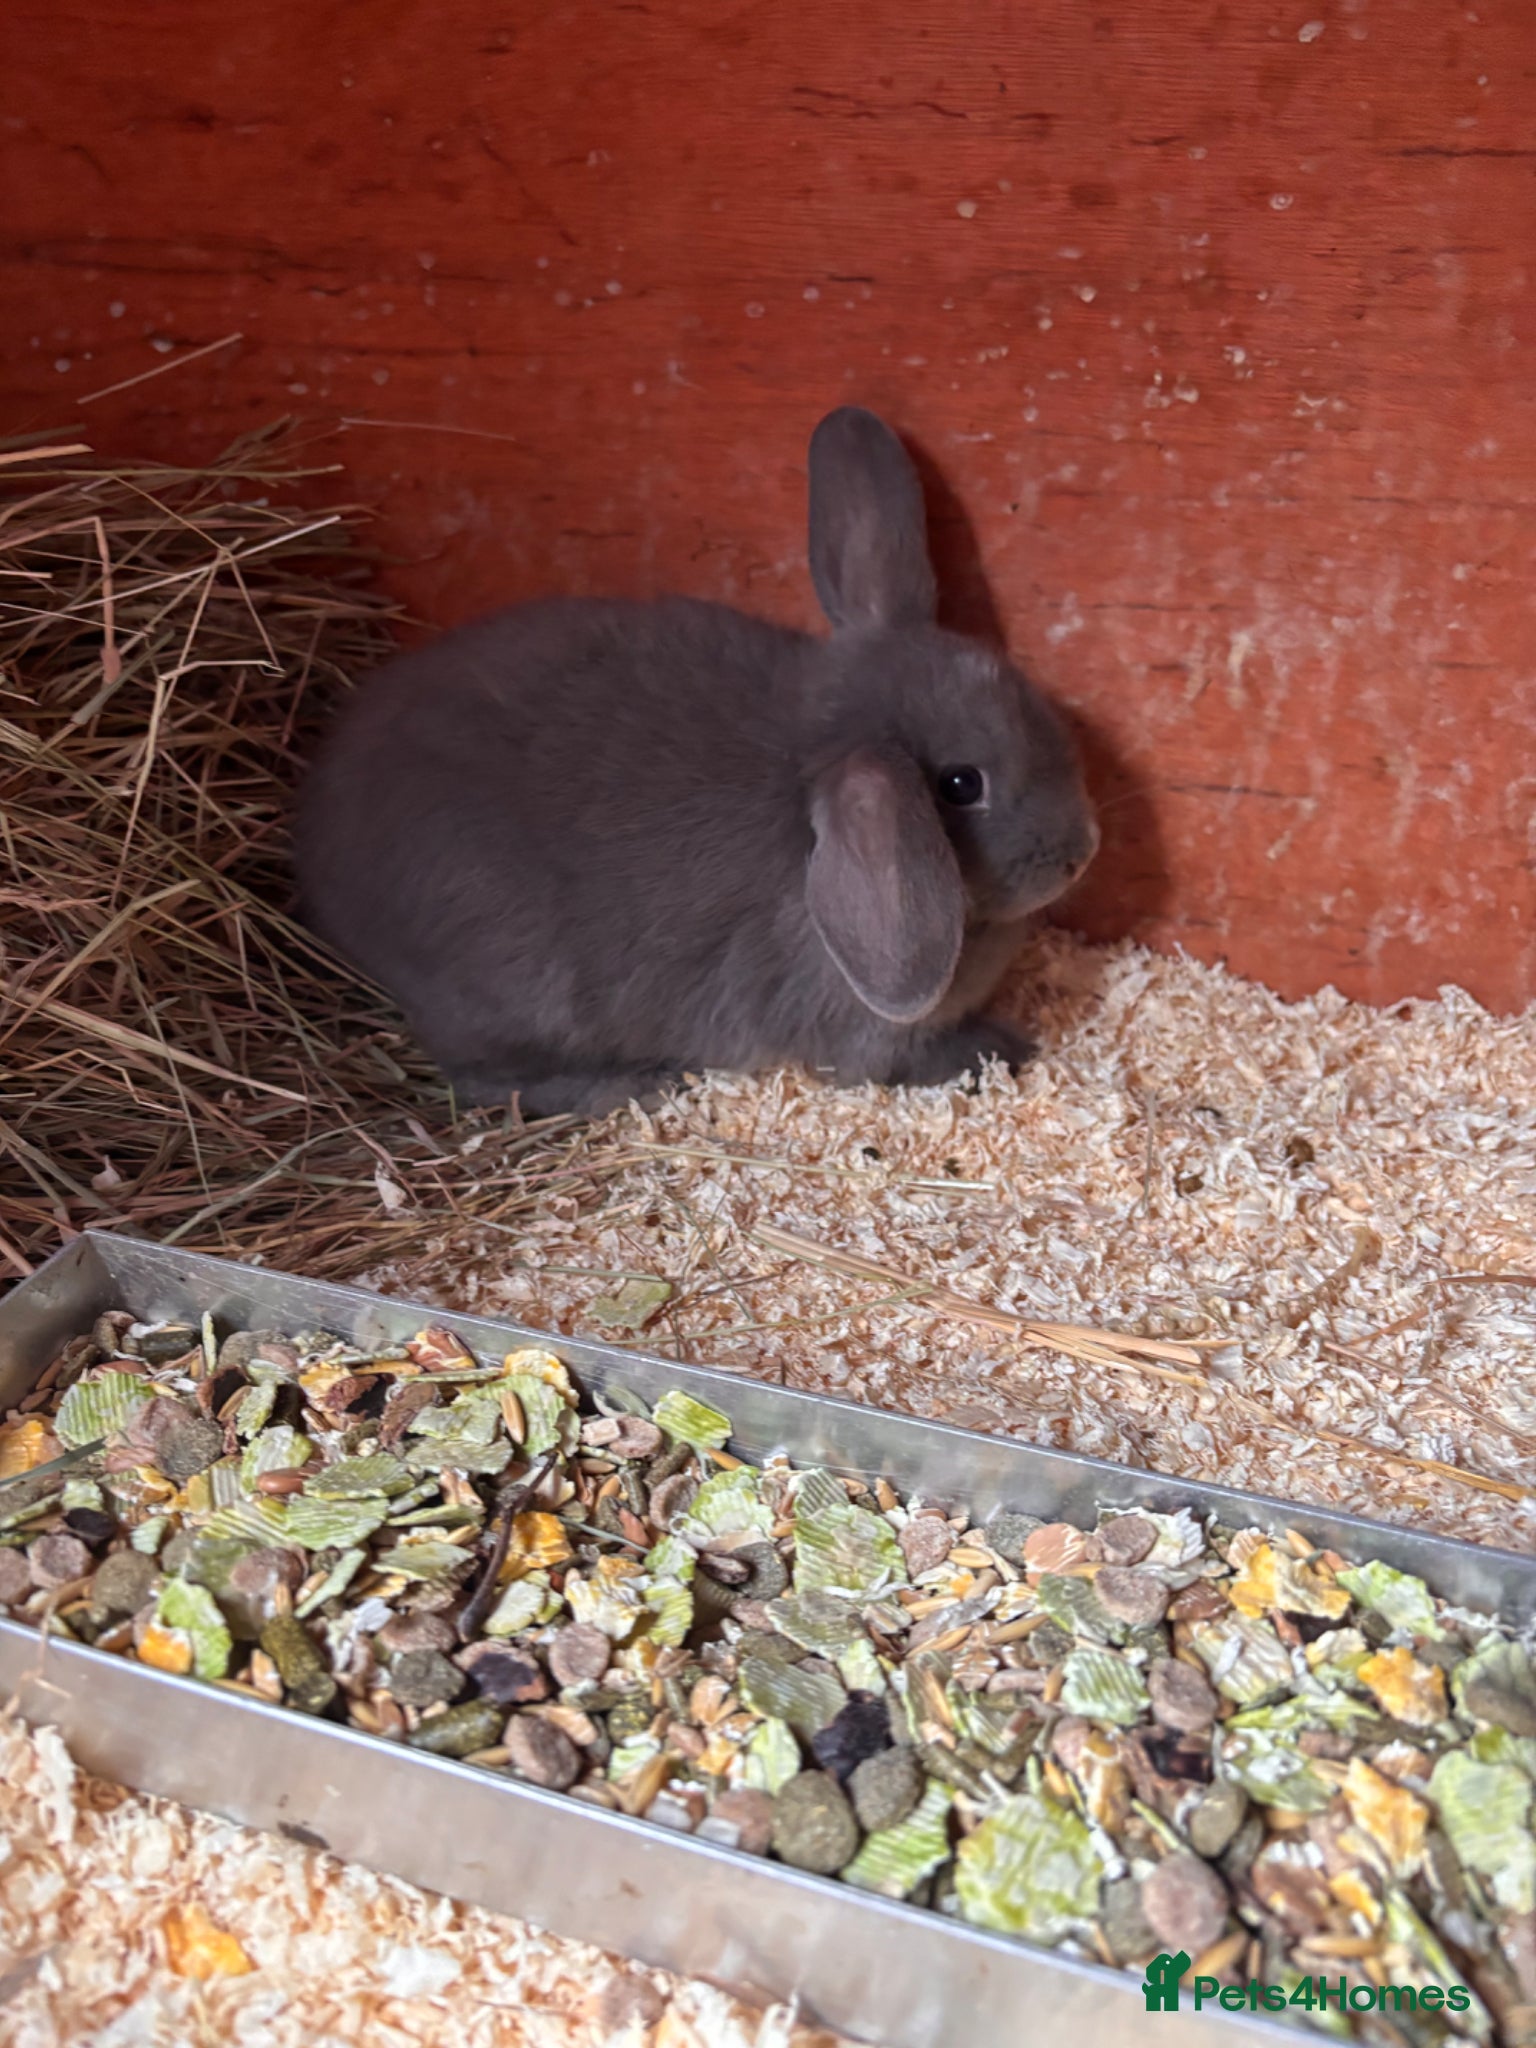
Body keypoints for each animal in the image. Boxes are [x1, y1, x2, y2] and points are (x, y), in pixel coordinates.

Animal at [293, 406, 1099, 1118]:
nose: (1080, 853)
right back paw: (635, 1084)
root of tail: (320, 855)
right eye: (962, 785)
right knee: (485, 1082)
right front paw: (1008, 1049)